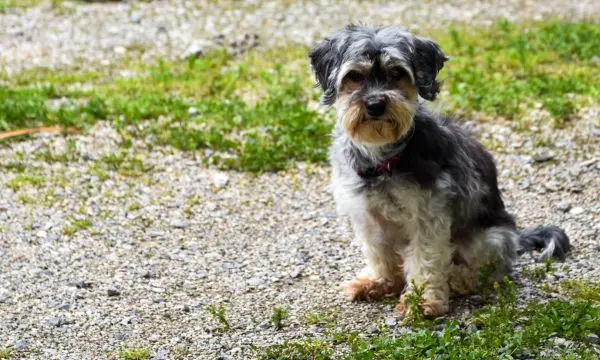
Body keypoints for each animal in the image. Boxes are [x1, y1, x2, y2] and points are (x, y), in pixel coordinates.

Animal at [310, 25, 572, 318]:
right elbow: (379, 253)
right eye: (354, 76)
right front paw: (380, 282)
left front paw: (422, 301)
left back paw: (457, 278)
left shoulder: (428, 216)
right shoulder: (368, 216)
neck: (383, 158)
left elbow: (426, 260)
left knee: (492, 271)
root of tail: (516, 238)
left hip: (488, 238)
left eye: (397, 73)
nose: (376, 104)